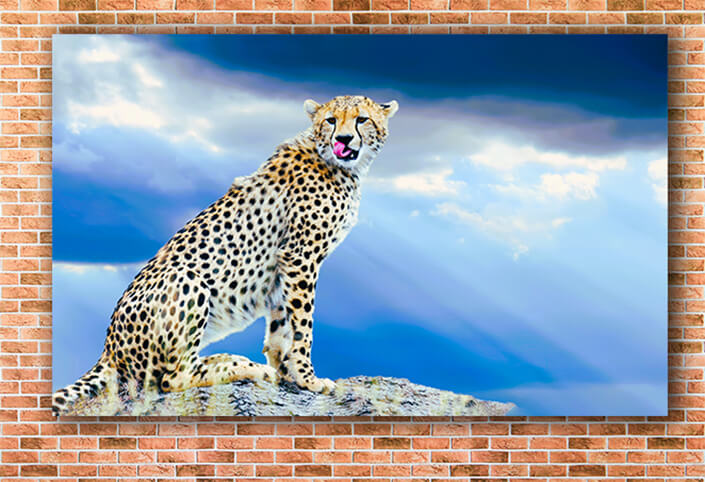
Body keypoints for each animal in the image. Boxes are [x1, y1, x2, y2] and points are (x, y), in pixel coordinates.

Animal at [52, 95, 399, 415]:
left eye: (362, 119)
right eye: (330, 120)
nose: (344, 139)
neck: (338, 163)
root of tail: (108, 348)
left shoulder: (285, 266)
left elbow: (280, 326)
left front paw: (287, 372)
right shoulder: (300, 257)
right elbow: (303, 325)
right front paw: (308, 379)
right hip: (187, 279)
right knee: (171, 379)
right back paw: (240, 366)